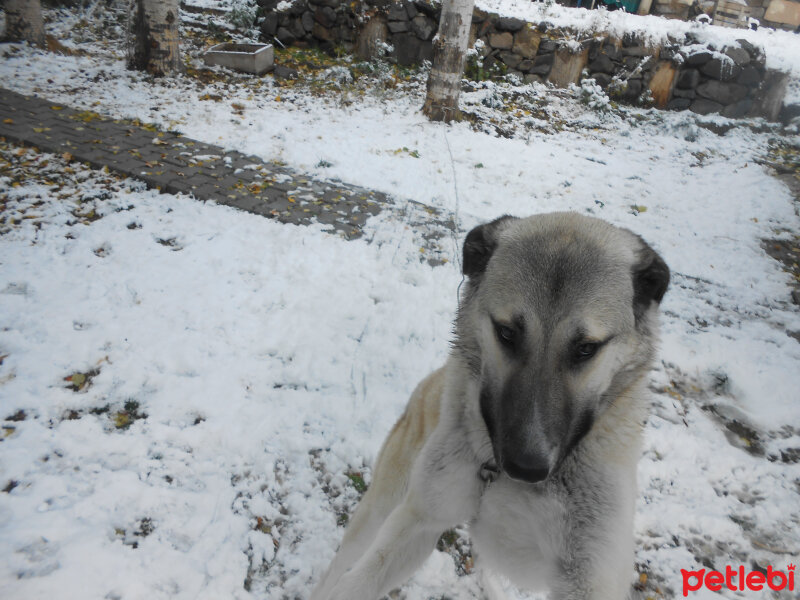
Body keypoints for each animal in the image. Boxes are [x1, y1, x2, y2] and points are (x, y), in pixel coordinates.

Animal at [310, 213, 672, 600]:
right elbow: (354, 583)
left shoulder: (590, 577)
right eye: (507, 333)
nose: (525, 466)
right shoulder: (418, 522)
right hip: (383, 504)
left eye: (586, 348)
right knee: (341, 562)